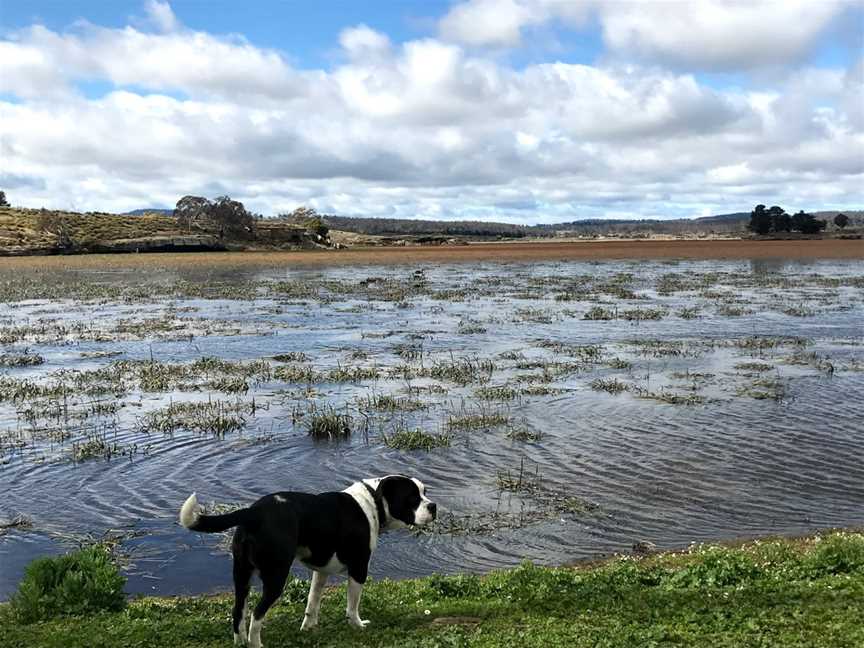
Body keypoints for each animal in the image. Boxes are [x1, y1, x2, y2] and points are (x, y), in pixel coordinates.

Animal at [178, 476, 436, 648]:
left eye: (424, 492)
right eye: (412, 498)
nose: (433, 506)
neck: (373, 501)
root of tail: (253, 513)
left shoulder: (321, 571)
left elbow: (312, 602)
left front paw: (309, 628)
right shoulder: (359, 568)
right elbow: (352, 606)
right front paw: (358, 626)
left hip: (241, 575)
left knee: (238, 612)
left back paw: (239, 642)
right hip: (276, 577)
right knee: (257, 615)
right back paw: (255, 644)